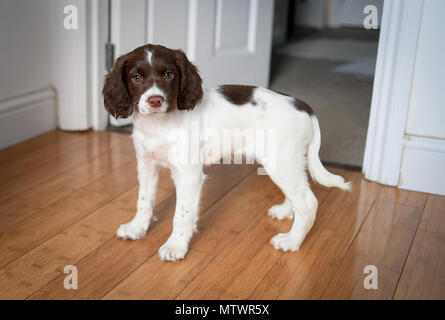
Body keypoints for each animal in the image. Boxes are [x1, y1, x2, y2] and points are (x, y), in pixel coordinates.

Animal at [101, 43, 350, 262]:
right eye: (136, 77)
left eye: (169, 74)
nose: (155, 101)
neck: (159, 125)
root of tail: (302, 105)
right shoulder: (146, 165)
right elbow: (144, 201)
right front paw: (136, 228)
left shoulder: (189, 175)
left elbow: (182, 215)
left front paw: (175, 246)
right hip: (290, 162)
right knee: (300, 191)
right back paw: (285, 211)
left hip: (281, 162)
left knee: (308, 203)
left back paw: (291, 241)